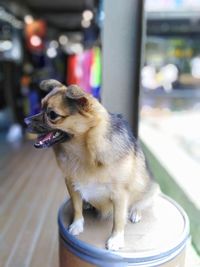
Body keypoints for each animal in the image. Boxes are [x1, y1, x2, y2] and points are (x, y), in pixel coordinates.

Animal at [25, 79, 159, 251]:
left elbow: (118, 218)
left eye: (52, 115)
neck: (83, 153)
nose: (25, 121)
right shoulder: (71, 184)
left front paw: (116, 238)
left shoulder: (120, 194)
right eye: (41, 106)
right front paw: (77, 224)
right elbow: (76, 206)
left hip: (147, 187)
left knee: (140, 202)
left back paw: (135, 212)